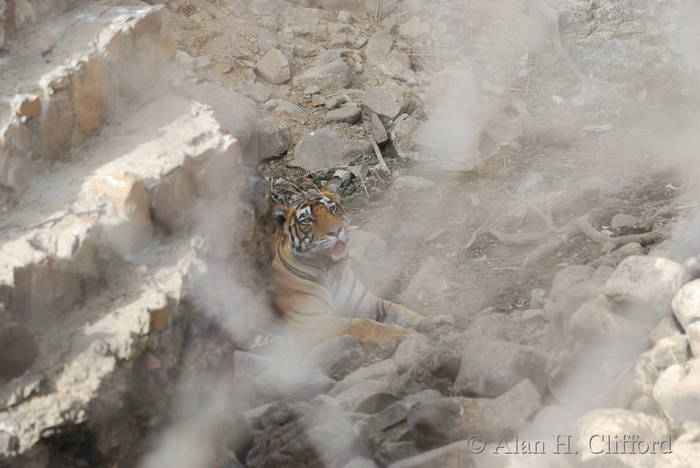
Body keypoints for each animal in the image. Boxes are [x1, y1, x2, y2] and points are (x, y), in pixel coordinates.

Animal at [272, 176, 432, 348]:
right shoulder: (310, 323)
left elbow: (398, 309)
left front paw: (431, 321)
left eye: (333, 209)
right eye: (307, 220)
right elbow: (362, 323)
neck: (330, 270)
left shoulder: (363, 301)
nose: (336, 231)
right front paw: (401, 334)